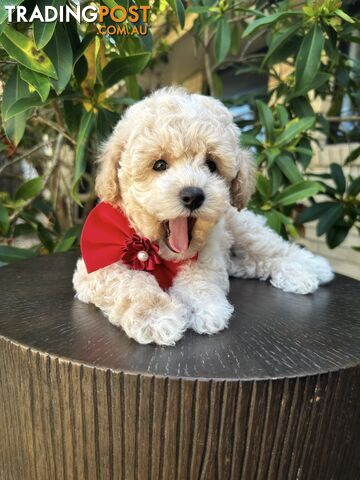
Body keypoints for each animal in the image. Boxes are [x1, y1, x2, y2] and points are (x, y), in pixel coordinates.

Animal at [71, 86, 334, 344]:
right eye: (159, 165)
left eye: (211, 165)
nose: (193, 195)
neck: (161, 253)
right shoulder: (97, 266)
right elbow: (130, 284)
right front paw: (156, 316)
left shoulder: (207, 255)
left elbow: (198, 278)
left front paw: (204, 307)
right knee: (254, 263)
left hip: (246, 230)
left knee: (278, 250)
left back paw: (311, 269)